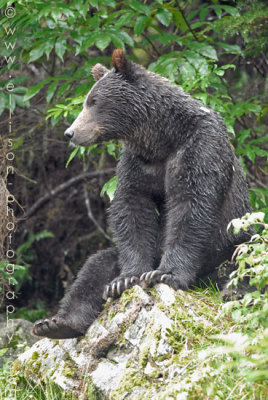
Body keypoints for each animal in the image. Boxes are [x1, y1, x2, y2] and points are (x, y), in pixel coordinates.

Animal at [31, 48, 251, 340]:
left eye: (93, 101)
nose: (71, 132)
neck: (161, 137)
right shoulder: (138, 163)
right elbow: (132, 207)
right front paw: (126, 279)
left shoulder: (201, 148)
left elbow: (191, 206)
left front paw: (165, 274)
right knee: (95, 265)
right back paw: (58, 323)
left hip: (231, 243)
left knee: (246, 257)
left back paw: (233, 291)